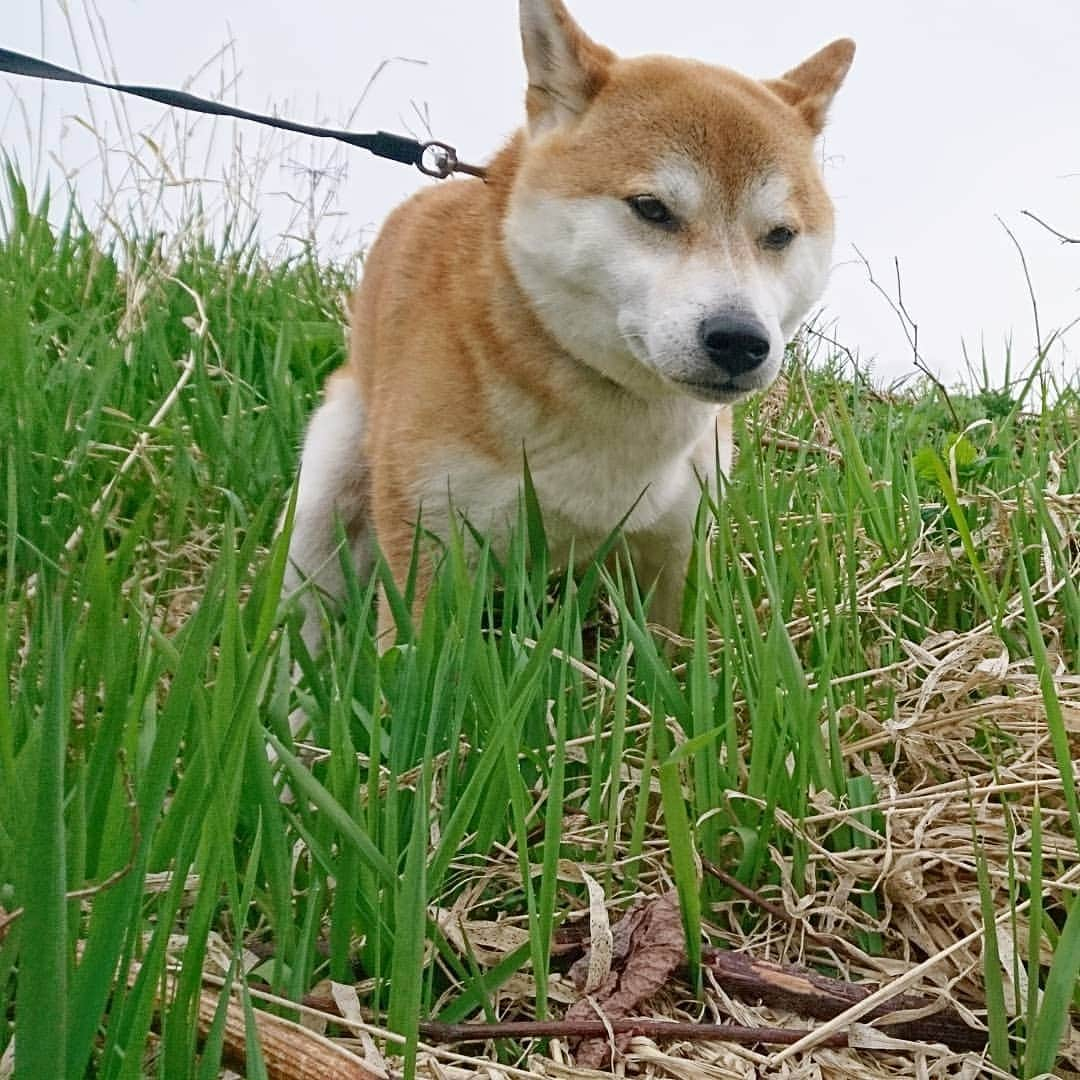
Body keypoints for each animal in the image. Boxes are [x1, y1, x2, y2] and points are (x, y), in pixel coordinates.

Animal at [285, 0, 851, 643]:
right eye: (652, 209)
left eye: (780, 235)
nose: (739, 341)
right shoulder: (428, 550)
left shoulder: (678, 553)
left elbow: (675, 660)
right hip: (324, 498)